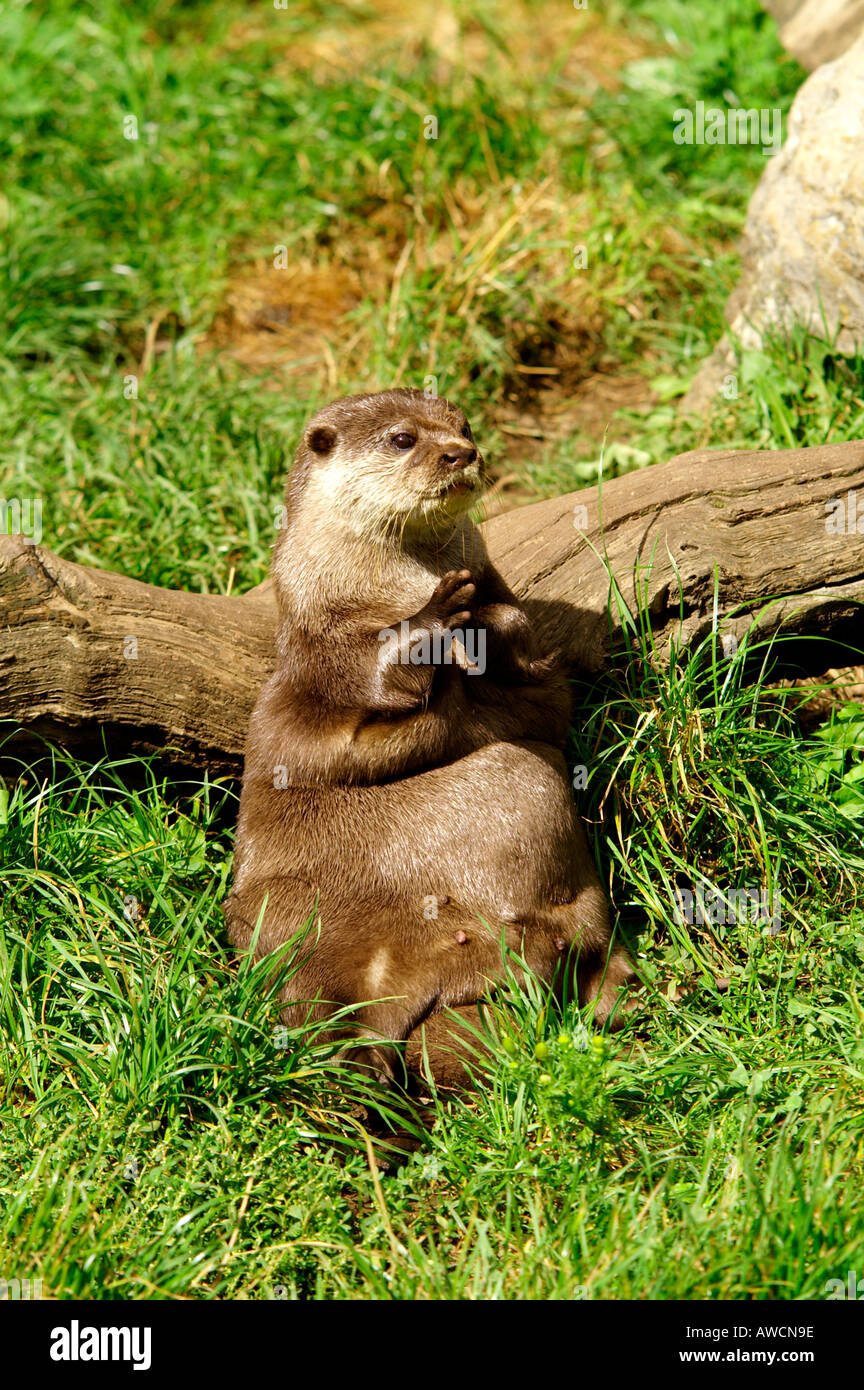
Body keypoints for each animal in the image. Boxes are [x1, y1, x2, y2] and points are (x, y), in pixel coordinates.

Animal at [224, 388, 633, 1085]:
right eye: (401, 438)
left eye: (463, 425)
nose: (460, 452)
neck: (388, 584)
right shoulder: (321, 644)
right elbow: (371, 676)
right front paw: (435, 617)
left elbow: (525, 650)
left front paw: (484, 622)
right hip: (279, 913)